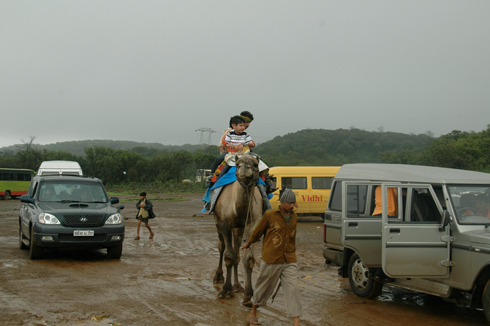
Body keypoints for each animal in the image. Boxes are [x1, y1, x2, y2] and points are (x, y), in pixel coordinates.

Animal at [212, 153, 262, 306]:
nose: (244, 167)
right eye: (238, 163)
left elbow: (248, 259)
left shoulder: (253, 222)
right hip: (217, 221)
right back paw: (218, 277)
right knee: (221, 246)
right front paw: (226, 291)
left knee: (236, 253)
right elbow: (228, 256)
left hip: (239, 228)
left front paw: (248, 295)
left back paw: (237, 286)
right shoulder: (223, 223)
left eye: (255, 164)